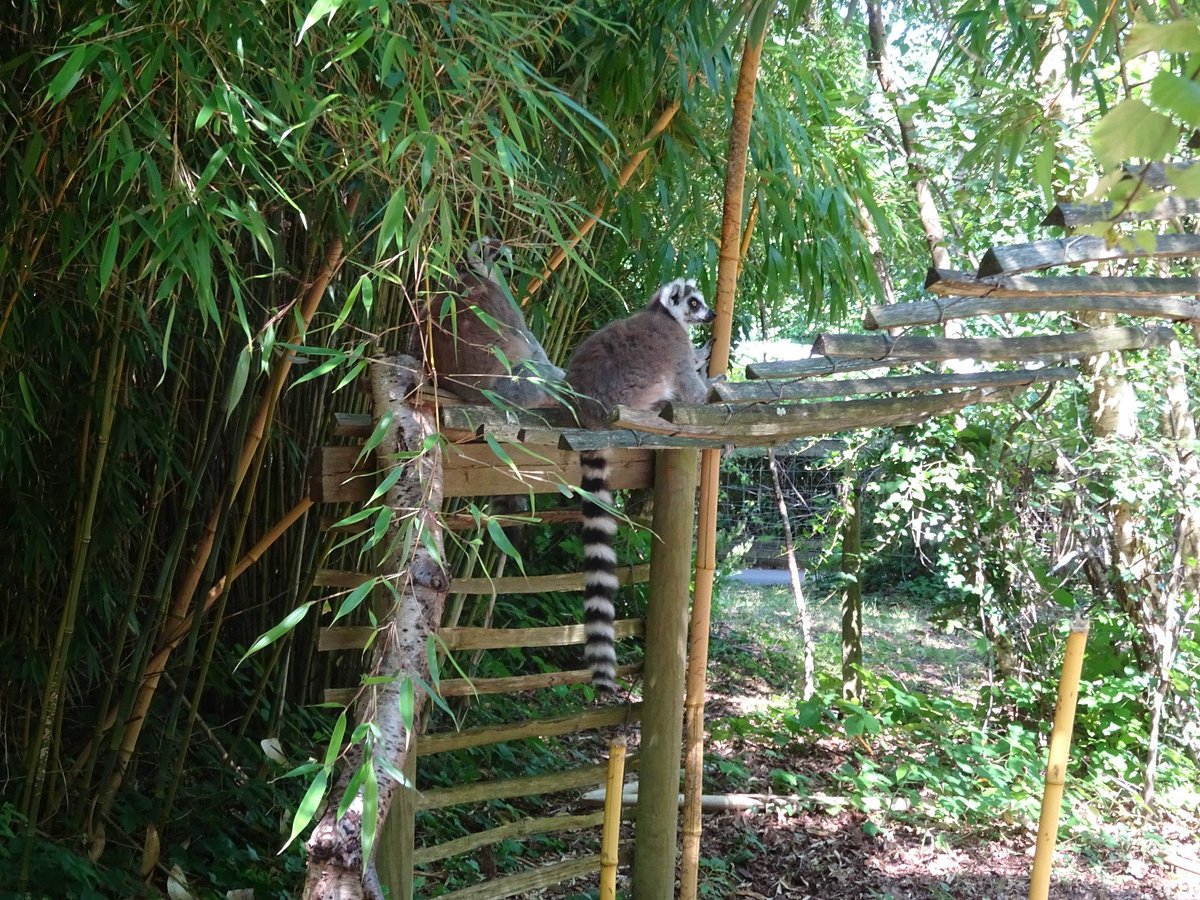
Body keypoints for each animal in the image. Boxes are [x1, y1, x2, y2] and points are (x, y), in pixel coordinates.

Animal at [423, 238, 564, 409]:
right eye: (501, 258)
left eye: (511, 258)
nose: (514, 270)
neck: (472, 272)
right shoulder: (499, 296)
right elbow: (524, 334)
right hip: (518, 382)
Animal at [563, 277, 716, 693]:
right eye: (693, 303)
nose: (713, 314)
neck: (662, 314)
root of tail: (590, 416)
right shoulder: (674, 348)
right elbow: (695, 394)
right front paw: (714, 376)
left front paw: (706, 353)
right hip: (635, 398)